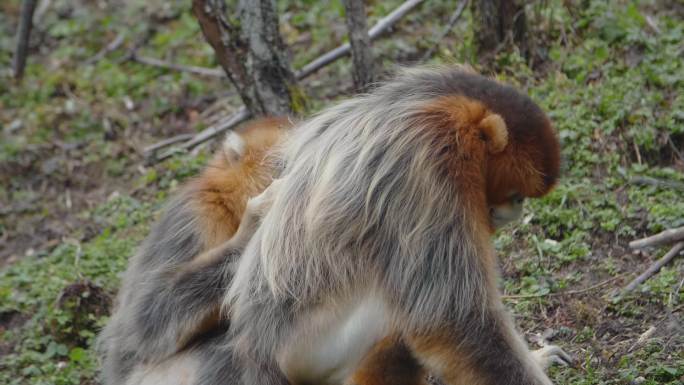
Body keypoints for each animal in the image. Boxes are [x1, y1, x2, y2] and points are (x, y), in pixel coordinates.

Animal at [227, 66, 564, 384]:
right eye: (517, 195)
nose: (518, 209)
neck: (440, 104)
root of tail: (256, 352)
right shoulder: (427, 170)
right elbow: (453, 321)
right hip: (311, 351)